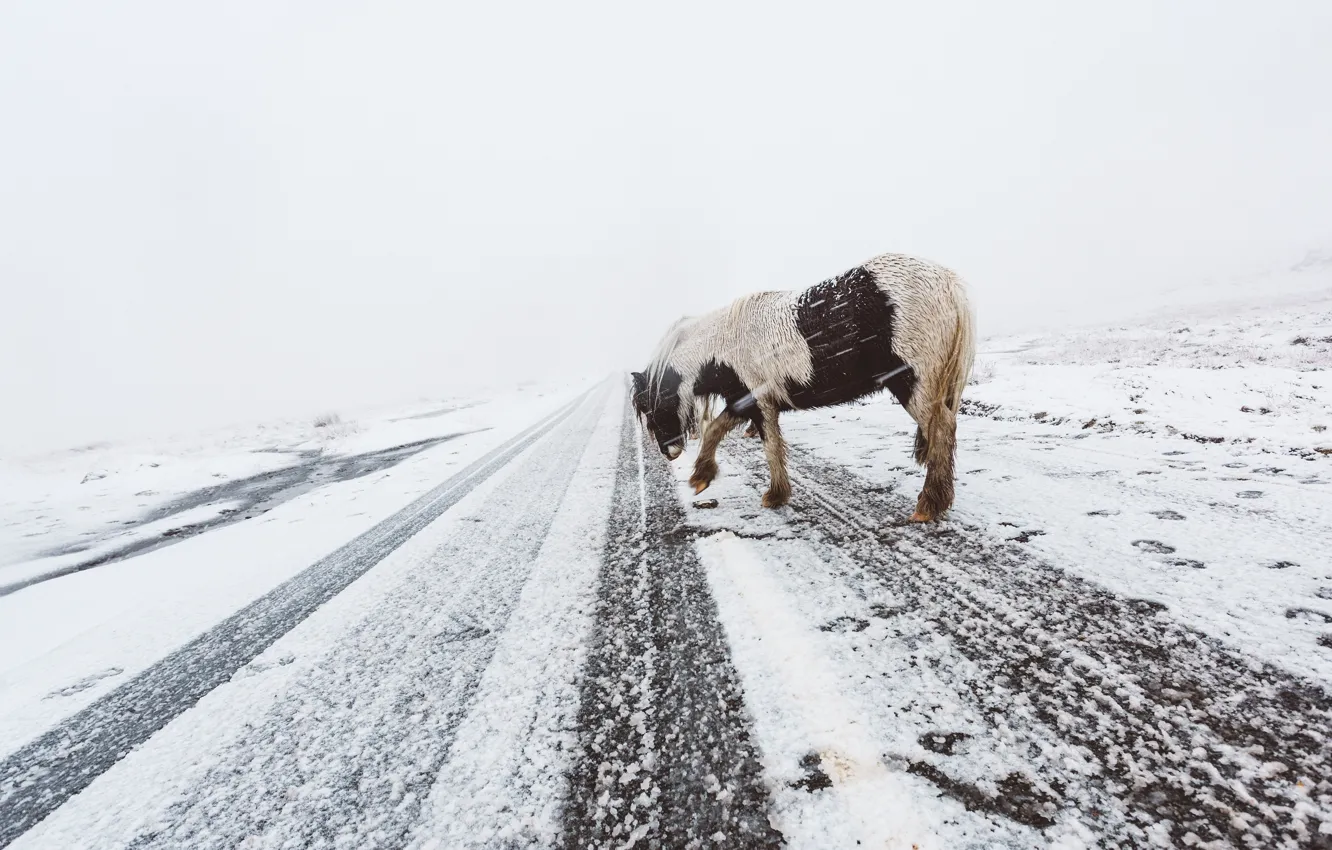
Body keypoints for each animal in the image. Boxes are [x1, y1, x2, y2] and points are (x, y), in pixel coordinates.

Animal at [631, 252, 975, 522]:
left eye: (651, 404)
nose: (669, 452)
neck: (724, 344)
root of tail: (948, 281)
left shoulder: (760, 403)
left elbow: (771, 446)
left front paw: (775, 495)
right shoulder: (744, 401)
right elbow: (715, 430)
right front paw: (701, 476)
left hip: (912, 383)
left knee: (941, 429)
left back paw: (930, 504)